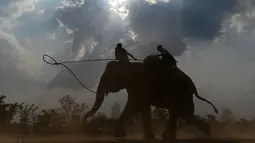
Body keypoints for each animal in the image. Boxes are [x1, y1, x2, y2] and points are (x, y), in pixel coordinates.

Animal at [82, 54, 218, 141]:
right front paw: (119, 135)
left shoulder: (142, 85)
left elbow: (140, 106)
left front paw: (149, 138)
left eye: (107, 78)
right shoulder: (134, 87)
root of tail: (193, 87)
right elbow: (133, 106)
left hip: (180, 92)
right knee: (180, 112)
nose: (97, 130)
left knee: (181, 112)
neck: (128, 65)